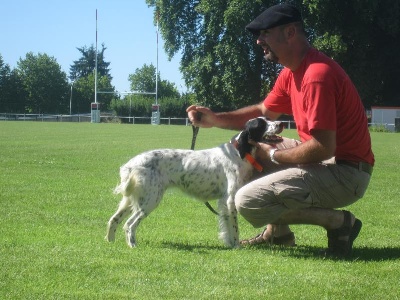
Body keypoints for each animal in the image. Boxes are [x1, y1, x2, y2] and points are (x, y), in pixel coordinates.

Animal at [104, 117, 282, 248]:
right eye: (261, 124)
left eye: (268, 119)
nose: (280, 123)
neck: (240, 152)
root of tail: (131, 164)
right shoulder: (231, 200)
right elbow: (234, 228)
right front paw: (237, 246)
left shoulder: (223, 201)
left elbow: (226, 227)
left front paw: (229, 244)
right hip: (150, 200)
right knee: (129, 224)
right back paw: (132, 245)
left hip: (132, 200)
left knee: (114, 219)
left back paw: (110, 242)